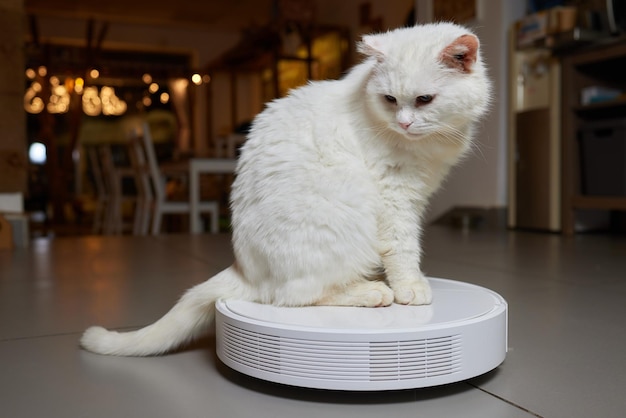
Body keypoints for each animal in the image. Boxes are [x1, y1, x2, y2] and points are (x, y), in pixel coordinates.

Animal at [79, 22, 488, 356]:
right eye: (389, 100)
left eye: (424, 100)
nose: (403, 123)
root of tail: (244, 270)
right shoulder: (396, 198)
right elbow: (403, 249)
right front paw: (410, 287)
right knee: (296, 297)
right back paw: (370, 291)